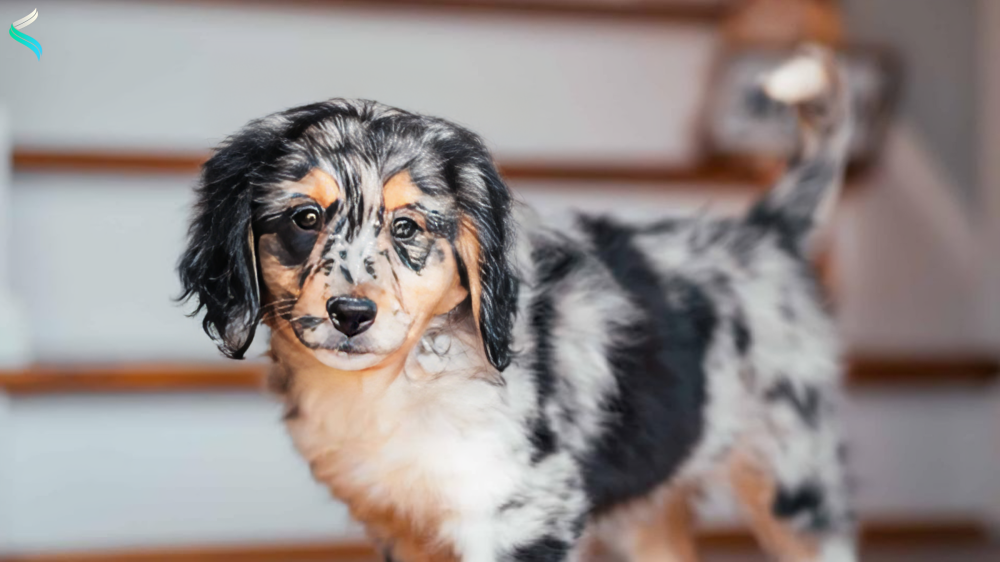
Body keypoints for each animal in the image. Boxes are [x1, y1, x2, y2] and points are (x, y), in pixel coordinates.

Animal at [178, 49, 852, 560]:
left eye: (406, 228)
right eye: (305, 218)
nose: (350, 314)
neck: (400, 382)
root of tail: (766, 231)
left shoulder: (524, 511)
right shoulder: (402, 526)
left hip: (796, 483)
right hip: (652, 508)